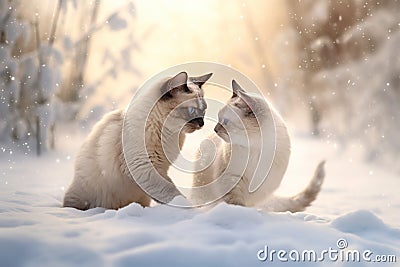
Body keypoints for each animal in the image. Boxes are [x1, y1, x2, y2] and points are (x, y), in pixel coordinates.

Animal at [63, 72, 212, 210]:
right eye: (192, 110)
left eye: (204, 110)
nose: (202, 123)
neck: (169, 135)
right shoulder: (144, 168)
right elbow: (171, 193)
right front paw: (189, 208)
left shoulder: (161, 169)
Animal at [191, 80, 324, 213]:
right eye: (218, 118)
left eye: (226, 121)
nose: (215, 129)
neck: (255, 147)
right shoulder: (232, 178)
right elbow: (236, 202)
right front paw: (236, 212)